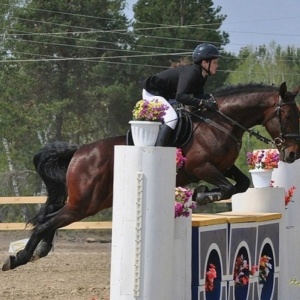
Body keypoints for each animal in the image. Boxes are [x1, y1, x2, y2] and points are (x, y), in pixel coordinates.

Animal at [2, 81, 300, 270]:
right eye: (287, 115)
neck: (222, 122)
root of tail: (79, 151)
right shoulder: (202, 167)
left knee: (51, 219)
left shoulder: (224, 167)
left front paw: (201, 194)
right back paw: (19, 258)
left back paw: (37, 251)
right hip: (86, 203)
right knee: (47, 221)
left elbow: (241, 184)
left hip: (92, 202)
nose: (292, 154)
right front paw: (202, 194)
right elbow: (226, 188)